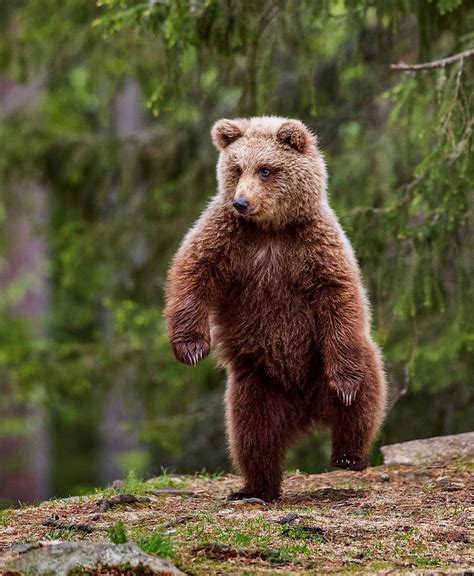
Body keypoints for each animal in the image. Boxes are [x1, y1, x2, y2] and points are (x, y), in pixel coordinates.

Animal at [165, 116, 386, 500]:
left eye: (266, 169)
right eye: (237, 168)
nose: (241, 202)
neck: (271, 229)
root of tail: (305, 407)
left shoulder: (315, 245)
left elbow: (339, 296)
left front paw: (346, 386)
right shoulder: (226, 237)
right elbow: (193, 273)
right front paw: (191, 348)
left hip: (329, 365)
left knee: (363, 398)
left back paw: (349, 454)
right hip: (257, 383)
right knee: (252, 432)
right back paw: (255, 487)